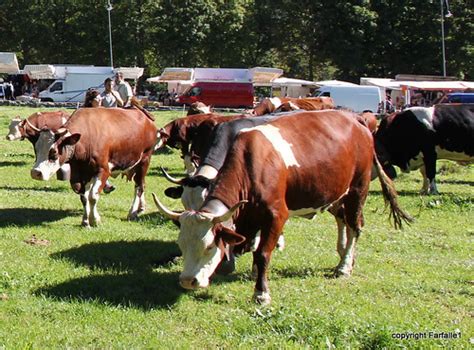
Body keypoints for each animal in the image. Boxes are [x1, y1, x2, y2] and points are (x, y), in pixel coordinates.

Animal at [30, 107, 158, 227]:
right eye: (36, 149)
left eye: (54, 152)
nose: (36, 172)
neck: (86, 140)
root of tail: (146, 116)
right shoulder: (79, 173)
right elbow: (84, 197)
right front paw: (85, 221)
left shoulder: (103, 170)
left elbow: (93, 196)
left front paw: (94, 219)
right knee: (142, 184)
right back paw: (141, 207)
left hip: (144, 160)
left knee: (139, 186)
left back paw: (132, 212)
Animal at [155, 109, 412, 304]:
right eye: (181, 244)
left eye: (209, 246)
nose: (188, 281)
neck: (251, 165)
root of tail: (356, 120)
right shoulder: (245, 215)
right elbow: (243, 241)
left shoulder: (276, 215)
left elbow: (262, 253)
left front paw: (261, 293)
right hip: (336, 193)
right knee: (343, 220)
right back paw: (344, 256)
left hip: (358, 189)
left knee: (355, 225)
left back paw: (344, 266)